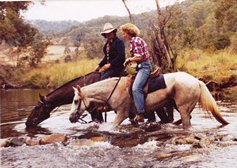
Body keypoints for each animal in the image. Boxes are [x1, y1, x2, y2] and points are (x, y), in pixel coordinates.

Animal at [69, 71, 229, 129]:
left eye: (76, 101)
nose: (71, 118)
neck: (114, 89)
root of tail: (196, 80)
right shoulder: (131, 115)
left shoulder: (122, 113)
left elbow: (113, 126)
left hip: (183, 108)